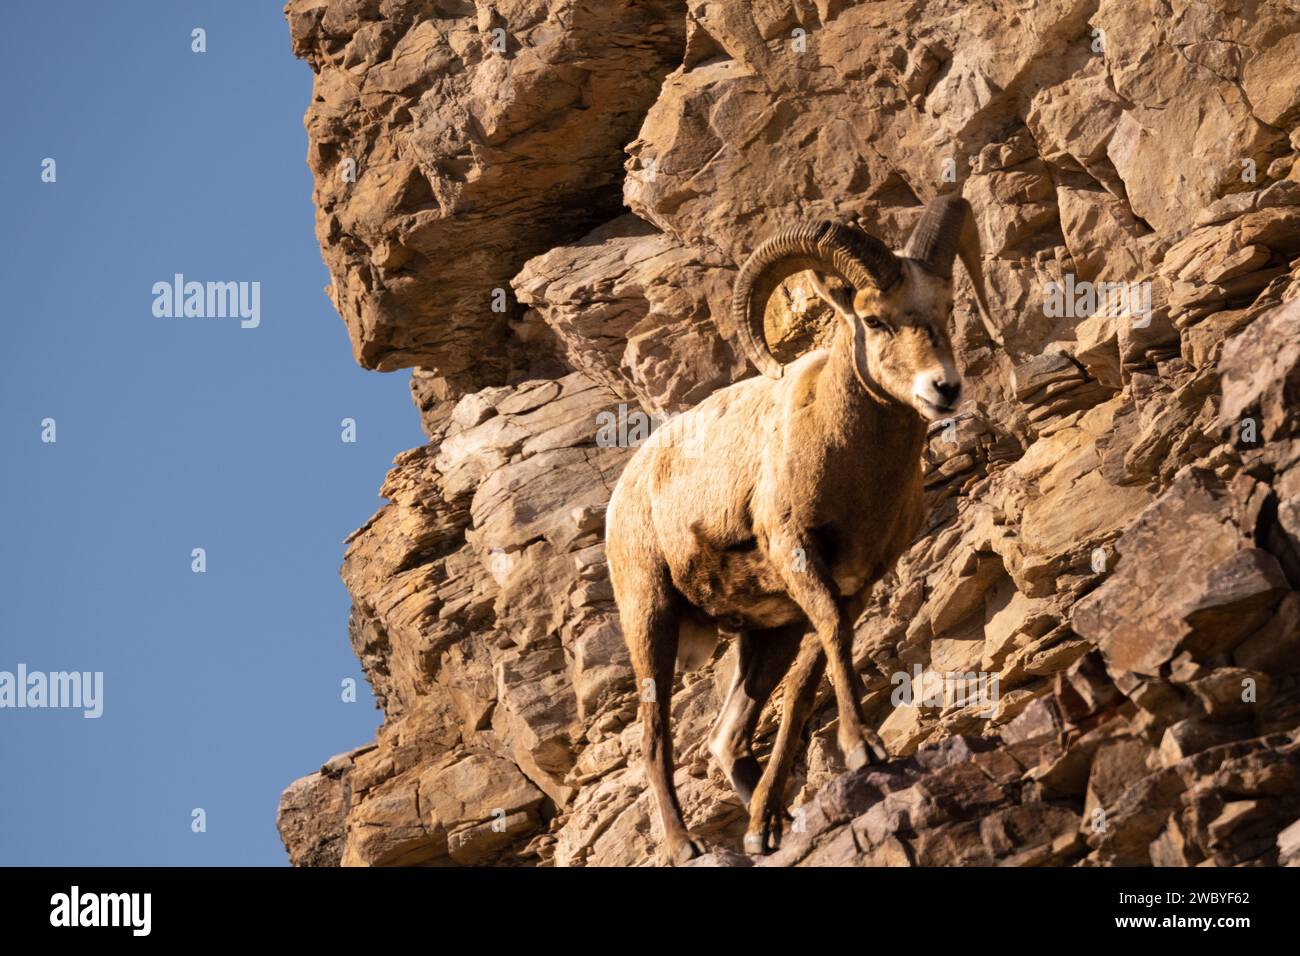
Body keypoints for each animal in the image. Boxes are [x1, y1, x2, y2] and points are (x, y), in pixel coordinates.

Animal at [603, 191, 977, 863]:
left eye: (946, 308)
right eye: (874, 320)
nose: (944, 389)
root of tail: (626, 488)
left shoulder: (850, 588)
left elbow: (809, 678)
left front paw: (770, 818)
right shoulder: (800, 558)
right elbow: (830, 643)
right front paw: (864, 749)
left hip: (762, 636)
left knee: (726, 737)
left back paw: (765, 819)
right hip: (650, 616)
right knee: (655, 735)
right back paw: (684, 844)